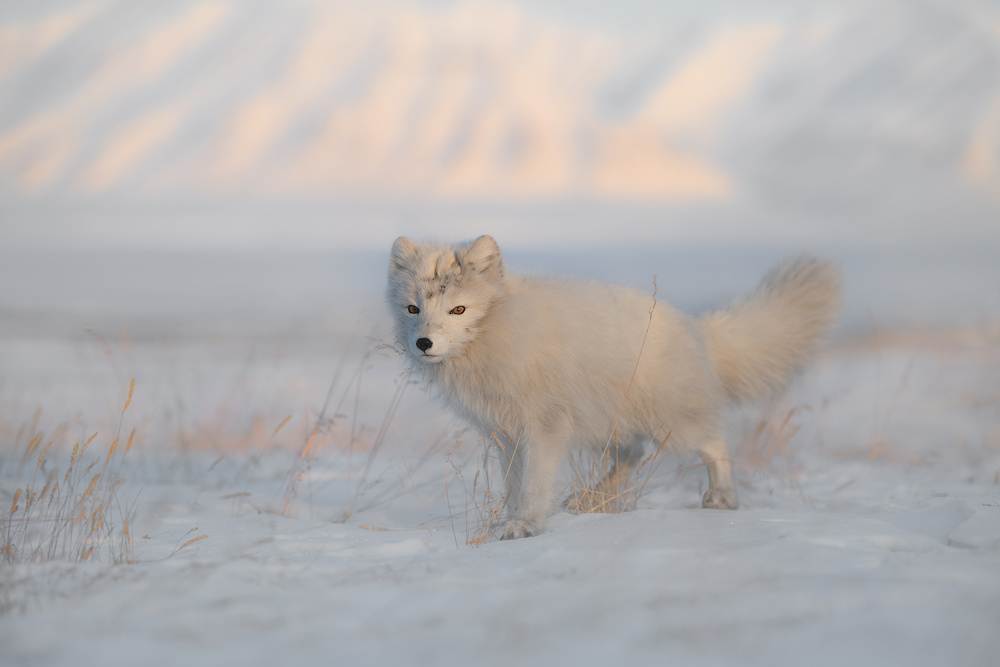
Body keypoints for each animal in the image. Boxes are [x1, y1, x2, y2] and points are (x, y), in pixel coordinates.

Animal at [386, 237, 840, 540]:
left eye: (458, 309)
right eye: (413, 308)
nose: (423, 343)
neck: (501, 330)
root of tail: (694, 327)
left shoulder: (544, 427)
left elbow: (533, 483)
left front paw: (526, 525)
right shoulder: (505, 433)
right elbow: (515, 484)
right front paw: (509, 519)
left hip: (672, 420)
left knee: (715, 444)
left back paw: (723, 497)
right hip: (609, 421)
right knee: (632, 454)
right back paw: (592, 500)